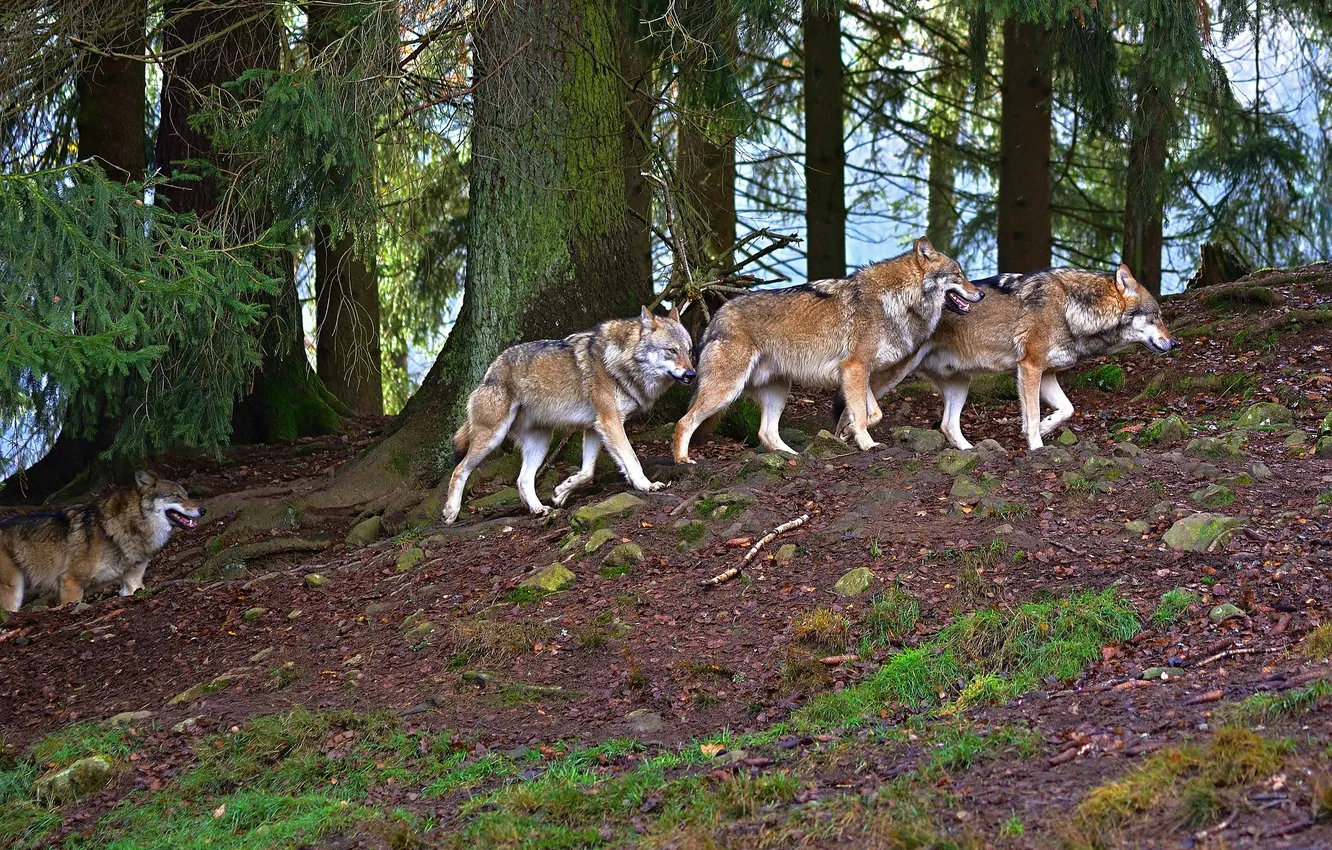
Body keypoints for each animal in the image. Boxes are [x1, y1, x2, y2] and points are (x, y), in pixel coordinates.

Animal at [0, 471, 204, 612]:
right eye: (176, 496)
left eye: (186, 495)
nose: (204, 510)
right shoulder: (71, 582)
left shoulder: (133, 582)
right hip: (13, 590)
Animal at [444, 307, 696, 523]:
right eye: (671, 351)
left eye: (689, 351)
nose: (692, 374)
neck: (619, 360)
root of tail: (490, 371)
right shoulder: (610, 422)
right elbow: (632, 459)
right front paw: (646, 485)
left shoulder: (595, 427)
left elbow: (587, 472)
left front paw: (561, 492)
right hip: (492, 437)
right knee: (459, 470)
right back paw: (451, 512)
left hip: (540, 443)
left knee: (523, 479)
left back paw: (538, 509)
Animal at [671, 237, 983, 463]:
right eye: (958, 275)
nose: (980, 293)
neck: (898, 300)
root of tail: (717, 317)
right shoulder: (855, 368)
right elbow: (863, 415)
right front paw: (867, 444)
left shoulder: (859, 373)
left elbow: (873, 413)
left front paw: (846, 432)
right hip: (725, 391)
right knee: (684, 422)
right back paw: (683, 460)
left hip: (778, 391)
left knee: (766, 433)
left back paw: (794, 457)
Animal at [833, 264, 1177, 450]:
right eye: (1157, 316)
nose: (1173, 343)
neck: (1072, 308)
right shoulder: (1030, 367)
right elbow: (1033, 416)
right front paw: (1037, 445)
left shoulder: (1047, 374)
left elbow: (1067, 409)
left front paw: (1048, 427)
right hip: (889, 371)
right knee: (850, 402)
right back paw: (846, 438)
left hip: (960, 383)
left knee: (947, 425)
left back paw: (970, 450)